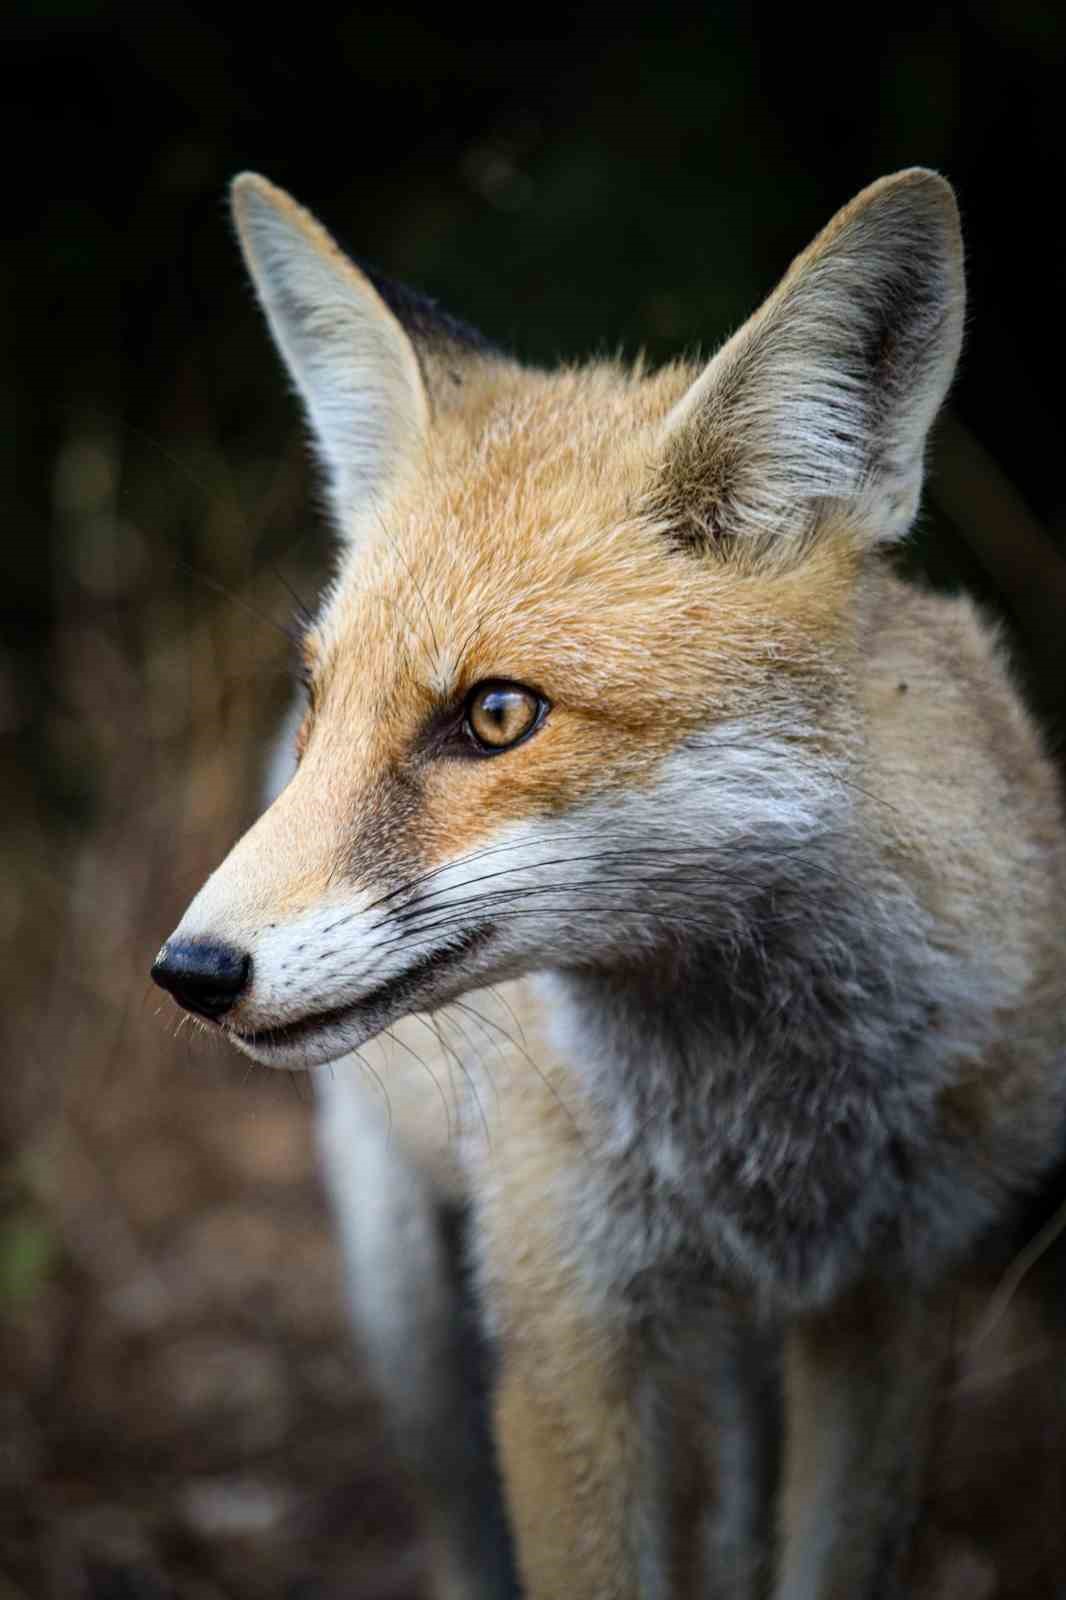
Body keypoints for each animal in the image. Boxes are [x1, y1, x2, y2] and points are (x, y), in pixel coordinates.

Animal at [151, 165, 1062, 1600]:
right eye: (320, 698)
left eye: (497, 714)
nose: (189, 972)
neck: (764, 1130)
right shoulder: (562, 1323)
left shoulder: (896, 1298)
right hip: (408, 1304)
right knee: (466, 1532)